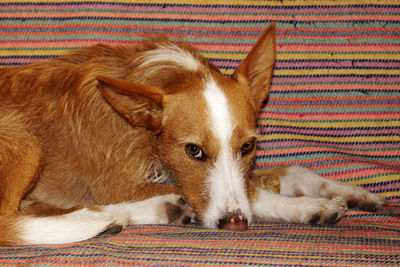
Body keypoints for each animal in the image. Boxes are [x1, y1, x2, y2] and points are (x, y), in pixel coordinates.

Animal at [0, 24, 388, 246]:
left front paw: (348, 192)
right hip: (26, 142)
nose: (235, 226)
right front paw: (308, 207)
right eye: (194, 151)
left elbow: (286, 172)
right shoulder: (120, 184)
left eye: (248, 146)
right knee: (9, 221)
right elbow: (253, 194)